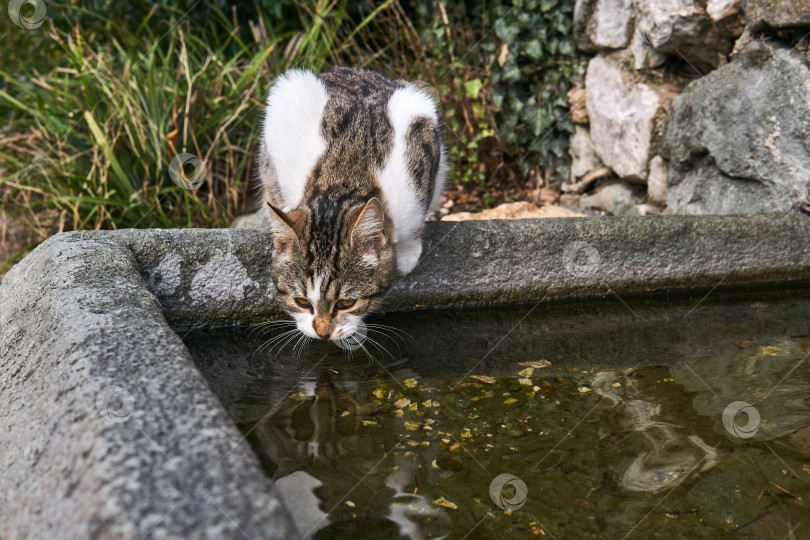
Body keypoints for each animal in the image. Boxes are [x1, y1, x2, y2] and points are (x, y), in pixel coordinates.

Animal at [258, 65, 446, 340]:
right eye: (302, 302)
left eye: (346, 303)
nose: (322, 333)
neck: (342, 185)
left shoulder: (423, 157)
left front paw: (408, 252)